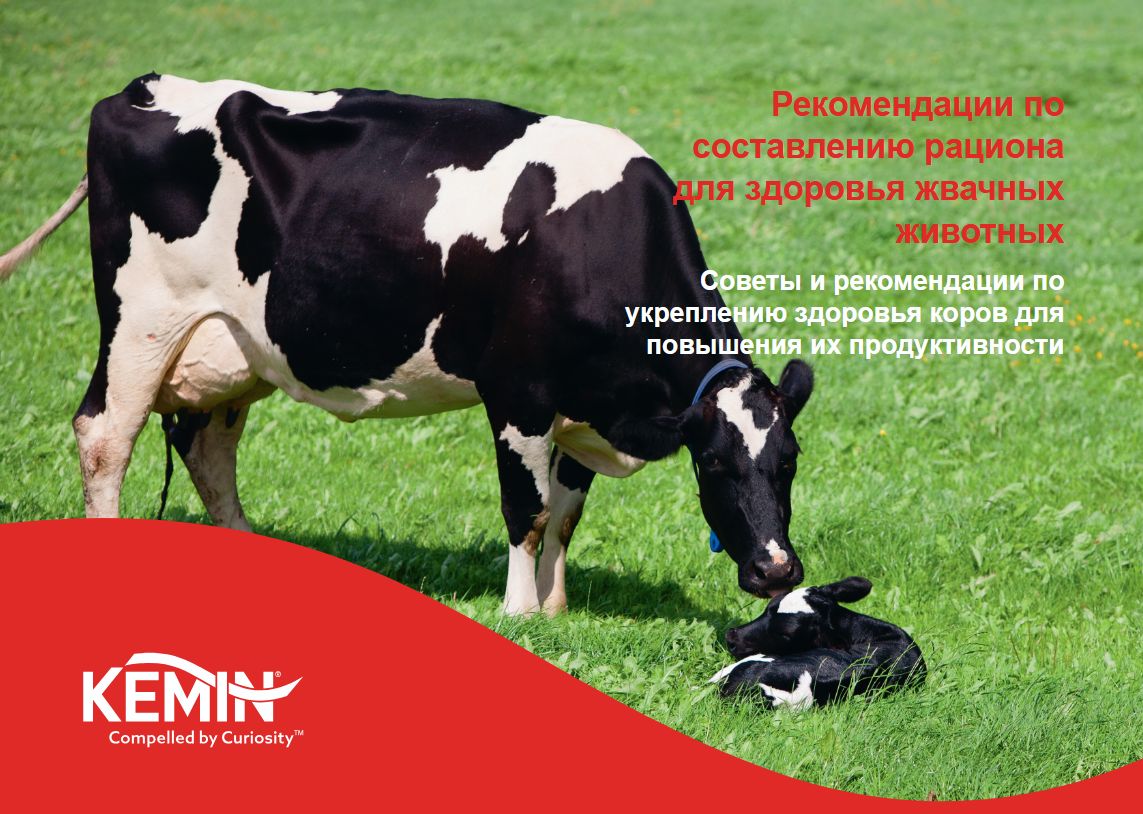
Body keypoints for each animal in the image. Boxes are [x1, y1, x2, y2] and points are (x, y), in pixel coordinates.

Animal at [0, 74, 814, 615]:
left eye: (790, 462)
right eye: (713, 464)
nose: (777, 571)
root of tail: (140, 90)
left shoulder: (581, 403)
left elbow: (566, 510)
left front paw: (557, 611)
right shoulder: (517, 392)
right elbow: (529, 510)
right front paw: (521, 614)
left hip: (234, 345)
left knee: (207, 448)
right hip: (141, 318)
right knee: (106, 435)